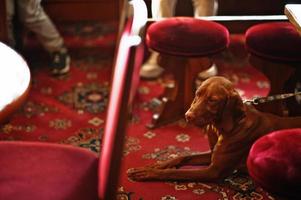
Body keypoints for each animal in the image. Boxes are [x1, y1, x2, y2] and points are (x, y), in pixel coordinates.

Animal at [126, 76, 300, 181]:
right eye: (197, 93)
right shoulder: (211, 155)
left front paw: (150, 173)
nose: (187, 115)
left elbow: (176, 172)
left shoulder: (213, 171)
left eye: (212, 100)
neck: (222, 128)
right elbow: (183, 156)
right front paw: (158, 164)